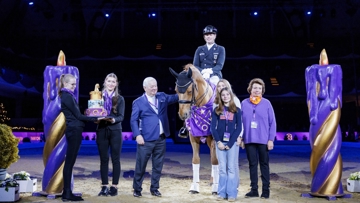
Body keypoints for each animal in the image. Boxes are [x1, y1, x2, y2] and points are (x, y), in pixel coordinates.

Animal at [169, 64, 218, 194]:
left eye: (190, 91)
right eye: (176, 91)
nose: (183, 115)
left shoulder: (214, 139)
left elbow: (214, 160)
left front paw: (216, 188)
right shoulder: (193, 137)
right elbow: (195, 160)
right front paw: (194, 187)